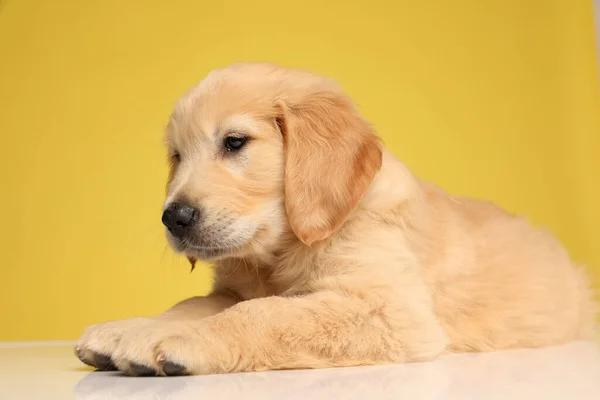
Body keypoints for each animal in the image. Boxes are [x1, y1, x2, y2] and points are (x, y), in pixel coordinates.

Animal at [75, 61, 596, 376]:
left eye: (235, 142)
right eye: (177, 156)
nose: (174, 217)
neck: (282, 252)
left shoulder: (388, 309)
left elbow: (264, 314)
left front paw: (181, 339)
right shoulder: (231, 288)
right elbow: (193, 303)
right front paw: (128, 329)